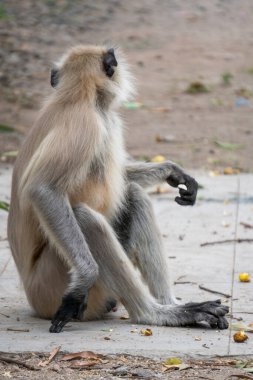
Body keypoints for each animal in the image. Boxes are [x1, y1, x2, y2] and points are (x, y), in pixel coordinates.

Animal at [7, 46, 229, 334]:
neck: (78, 96)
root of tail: (32, 297)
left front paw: (172, 171)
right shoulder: (86, 123)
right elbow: (42, 189)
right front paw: (83, 280)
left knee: (134, 195)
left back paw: (171, 304)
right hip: (52, 288)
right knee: (86, 219)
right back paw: (155, 313)